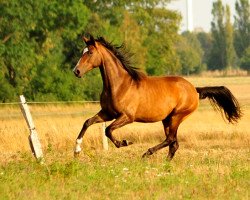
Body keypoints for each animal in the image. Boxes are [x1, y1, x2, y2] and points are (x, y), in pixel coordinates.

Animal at [73, 34, 242, 159]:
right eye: (82, 52)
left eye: (90, 52)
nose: (76, 71)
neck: (120, 85)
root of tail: (194, 90)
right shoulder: (107, 113)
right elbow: (87, 122)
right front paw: (76, 150)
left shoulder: (127, 117)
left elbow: (108, 130)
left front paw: (125, 142)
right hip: (167, 119)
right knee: (173, 143)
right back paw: (165, 163)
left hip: (176, 117)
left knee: (171, 140)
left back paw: (147, 153)